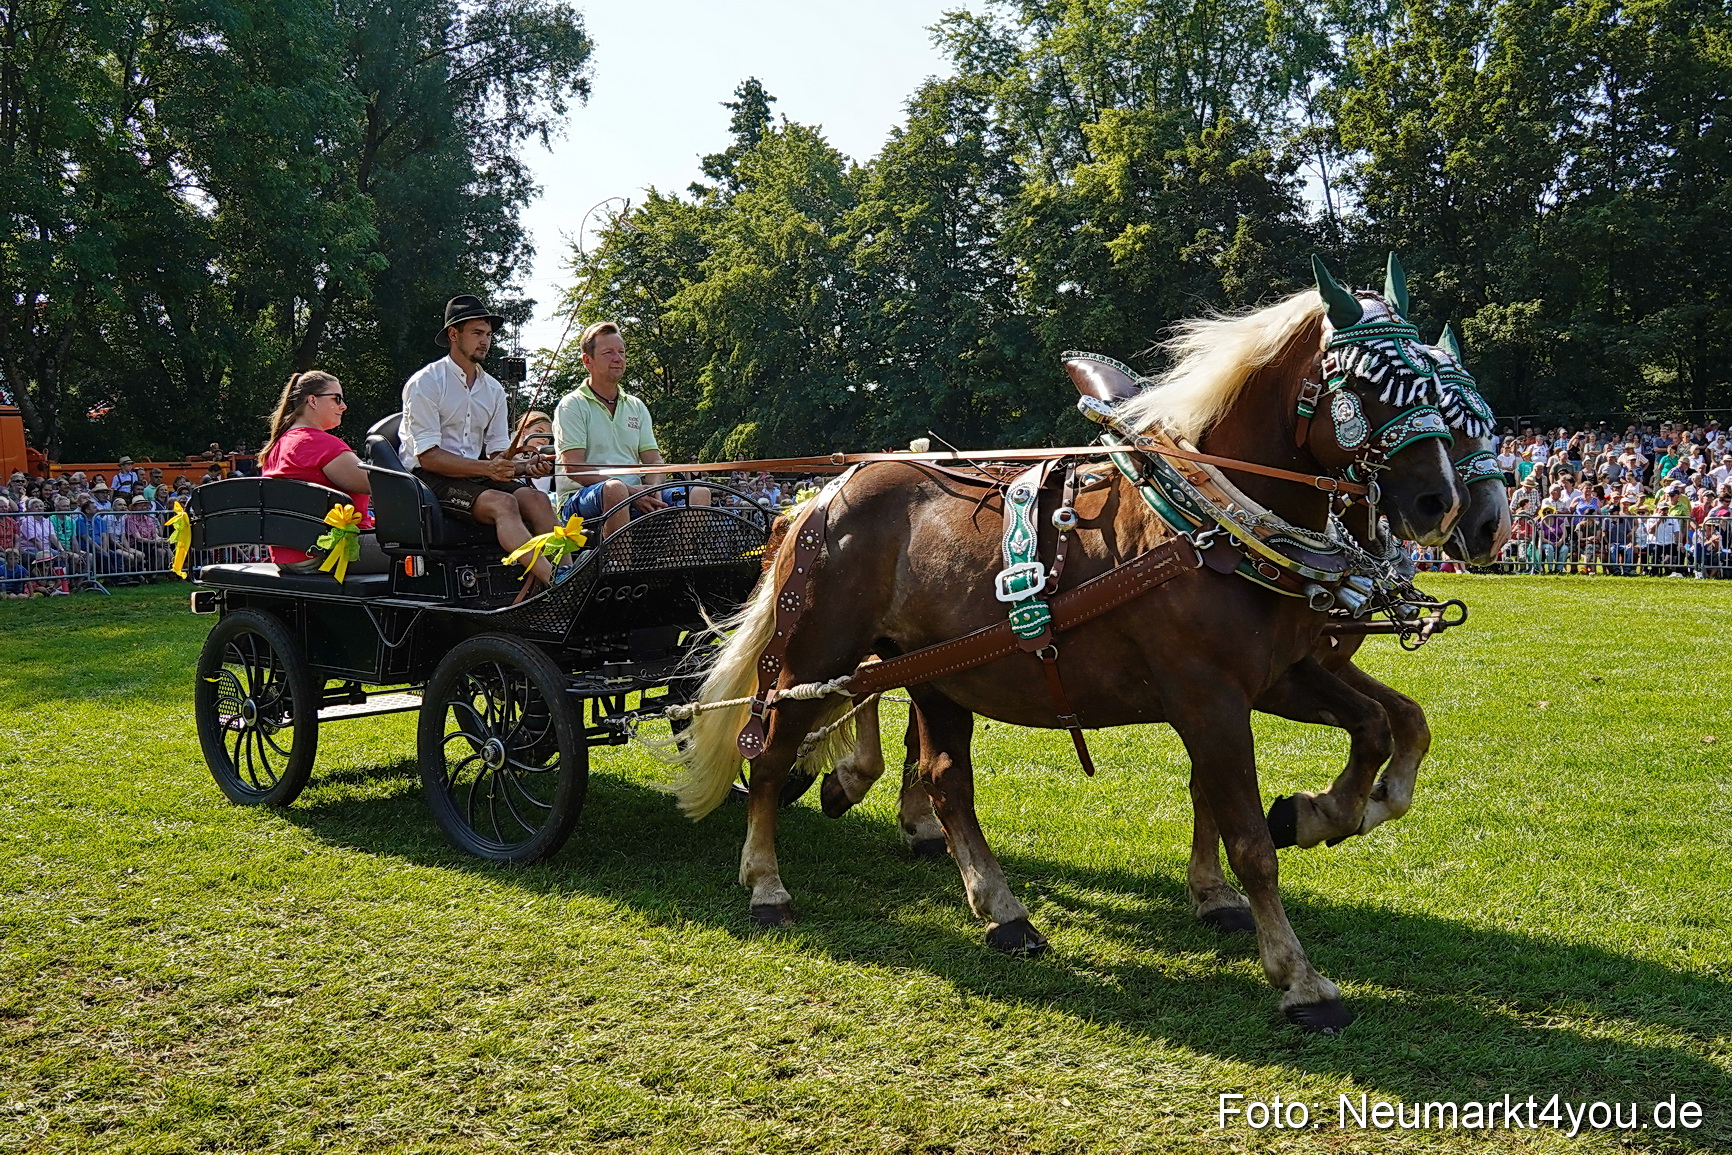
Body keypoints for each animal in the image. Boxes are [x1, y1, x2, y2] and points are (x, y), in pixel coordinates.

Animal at [668, 270, 1468, 1030]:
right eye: (1368, 380)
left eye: (1436, 388)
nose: (1444, 504)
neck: (1207, 527)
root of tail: (824, 493)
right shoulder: (1208, 698)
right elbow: (1251, 843)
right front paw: (1299, 978)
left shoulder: (1281, 676)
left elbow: (1379, 728)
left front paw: (1318, 812)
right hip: (818, 655)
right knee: (772, 751)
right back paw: (767, 883)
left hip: (937, 672)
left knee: (943, 777)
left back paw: (1001, 909)